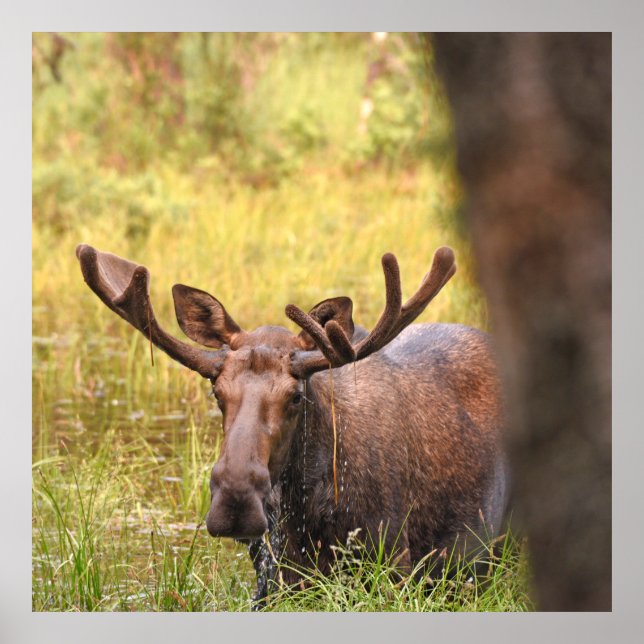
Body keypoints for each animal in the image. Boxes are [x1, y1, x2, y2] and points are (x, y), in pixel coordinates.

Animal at [76, 243, 510, 603]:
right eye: (216, 392)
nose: (235, 500)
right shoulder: (278, 577)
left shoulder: (393, 564)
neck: (311, 517)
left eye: (296, 395)